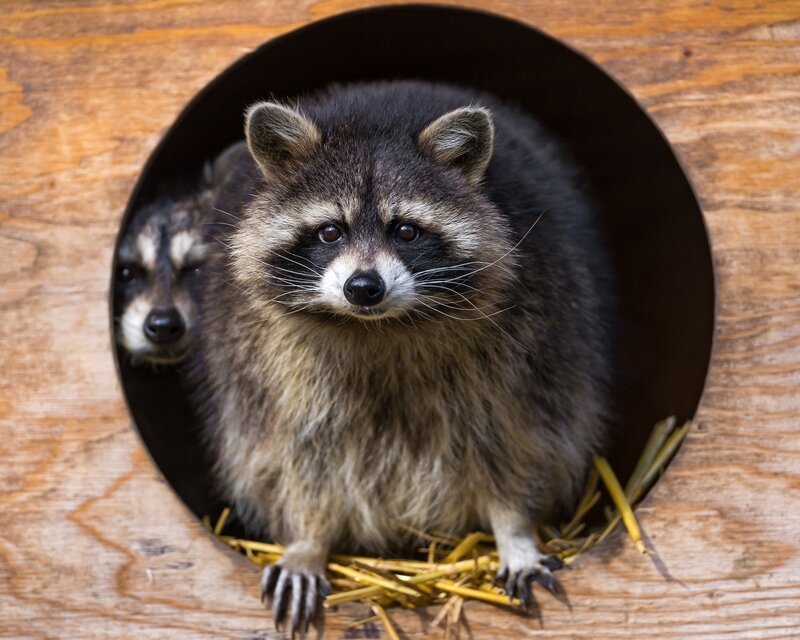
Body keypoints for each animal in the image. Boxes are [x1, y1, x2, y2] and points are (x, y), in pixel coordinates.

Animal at [194, 81, 615, 634]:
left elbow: (518, 440)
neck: (378, 325)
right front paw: (307, 539)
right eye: (330, 231)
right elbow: (295, 454)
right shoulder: (263, 365)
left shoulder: (539, 342)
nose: (363, 287)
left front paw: (515, 529)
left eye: (406, 231)